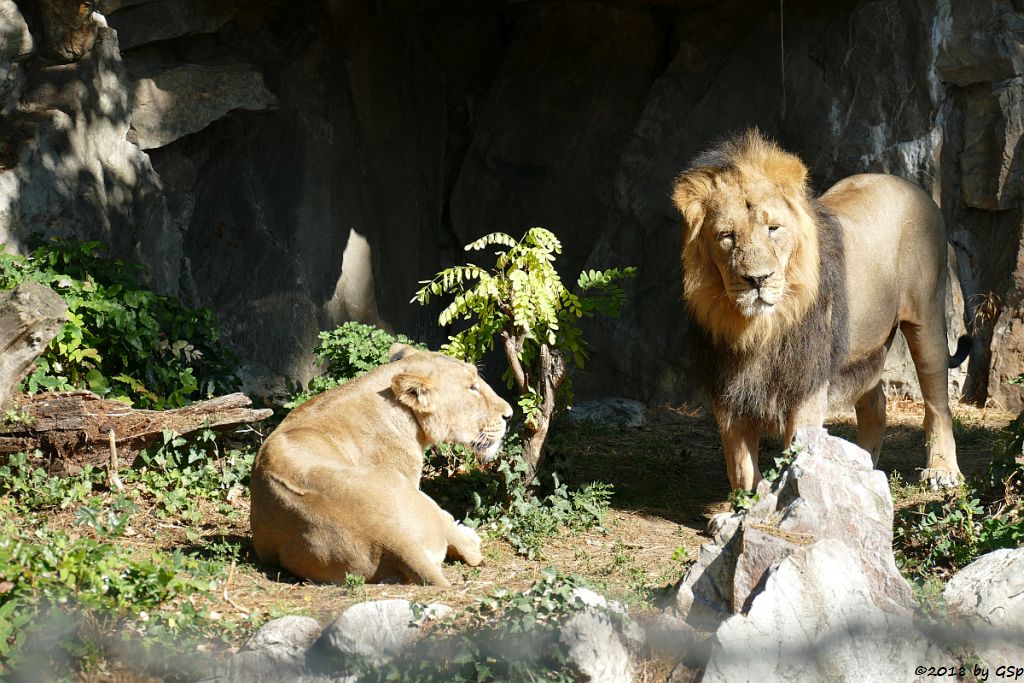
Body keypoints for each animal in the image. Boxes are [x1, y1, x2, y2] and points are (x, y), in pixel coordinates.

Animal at [671, 129, 966, 491]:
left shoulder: (807, 379)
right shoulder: (727, 382)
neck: (758, 328)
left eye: (773, 229)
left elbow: (796, 450)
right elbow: (739, 464)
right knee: (876, 403)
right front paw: (750, 500)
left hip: (927, 319)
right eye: (726, 236)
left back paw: (942, 471)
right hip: (863, 347)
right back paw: (862, 467)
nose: (757, 279)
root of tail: (907, 183)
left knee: (937, 401)